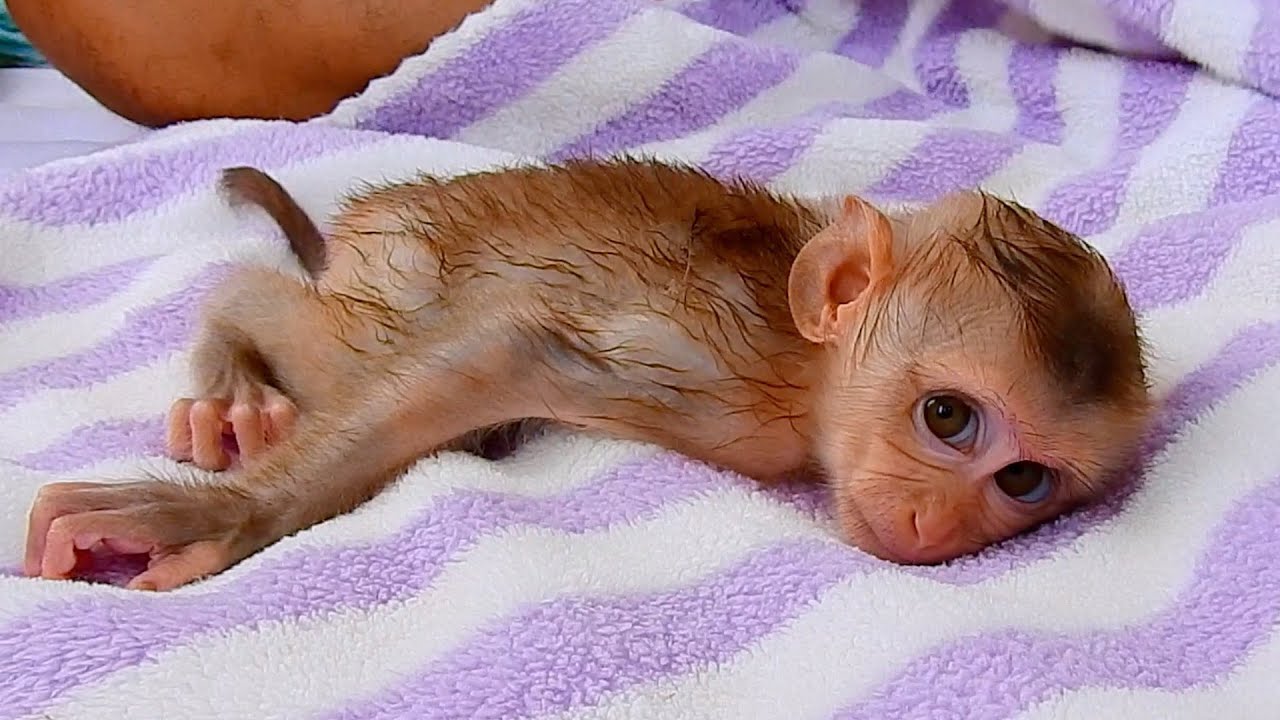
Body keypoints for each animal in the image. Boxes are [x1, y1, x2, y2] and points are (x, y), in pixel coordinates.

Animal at [21, 158, 1154, 592]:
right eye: (947, 418)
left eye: (1022, 483)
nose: (937, 527)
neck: (807, 370)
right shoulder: (710, 382)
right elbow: (511, 352)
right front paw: (219, 516)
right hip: (395, 271)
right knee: (296, 317)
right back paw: (233, 357)